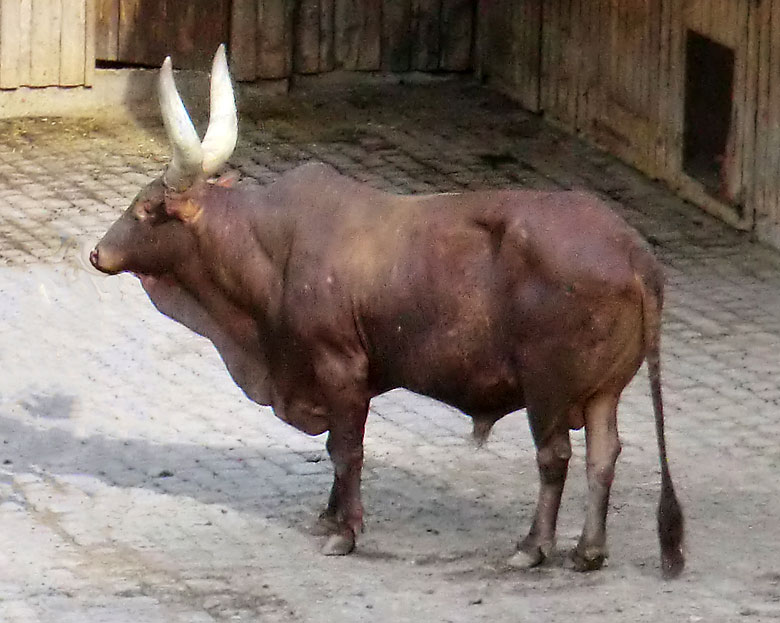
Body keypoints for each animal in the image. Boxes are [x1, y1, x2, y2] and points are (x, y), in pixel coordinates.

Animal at [91, 46, 684, 576]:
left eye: (146, 208)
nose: (98, 253)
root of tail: (631, 250)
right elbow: (339, 446)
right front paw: (329, 517)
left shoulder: (340, 366)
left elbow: (345, 449)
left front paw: (345, 532)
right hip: (603, 390)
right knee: (603, 454)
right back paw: (589, 550)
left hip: (548, 386)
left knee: (555, 456)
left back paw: (533, 546)